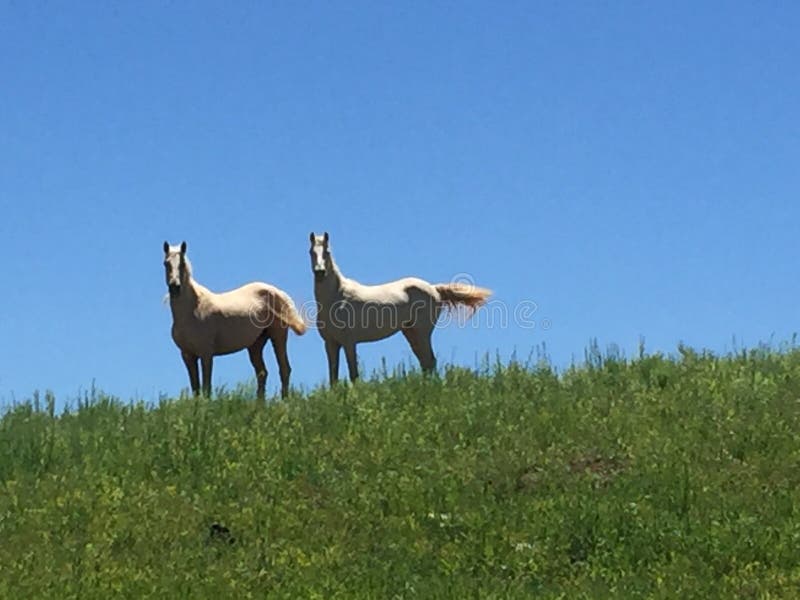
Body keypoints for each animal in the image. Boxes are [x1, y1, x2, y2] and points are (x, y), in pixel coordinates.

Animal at [163, 241, 307, 400]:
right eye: (166, 263)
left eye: (182, 263)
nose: (174, 287)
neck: (192, 310)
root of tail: (279, 292)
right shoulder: (188, 355)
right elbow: (195, 388)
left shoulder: (206, 354)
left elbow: (206, 387)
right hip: (255, 344)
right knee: (262, 373)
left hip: (278, 336)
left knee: (284, 369)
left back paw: (284, 401)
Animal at [308, 232, 492, 384]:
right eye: (311, 252)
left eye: (327, 251)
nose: (320, 272)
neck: (337, 297)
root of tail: (434, 288)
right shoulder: (331, 344)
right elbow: (333, 377)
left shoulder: (349, 343)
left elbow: (354, 375)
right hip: (411, 333)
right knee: (425, 362)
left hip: (422, 333)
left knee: (430, 361)